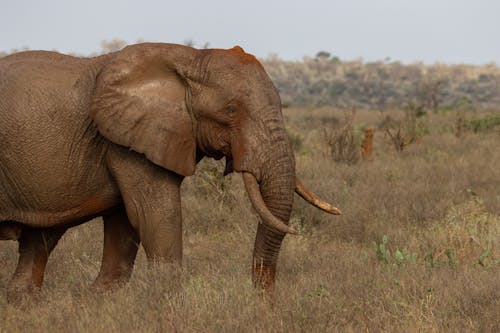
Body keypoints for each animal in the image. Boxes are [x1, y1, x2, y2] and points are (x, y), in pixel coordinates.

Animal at [0, 42, 340, 300]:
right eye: (231, 110)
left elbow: (125, 224)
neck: (191, 58)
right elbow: (155, 215)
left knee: (38, 241)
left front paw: (98, 301)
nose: (263, 303)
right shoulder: (126, 139)